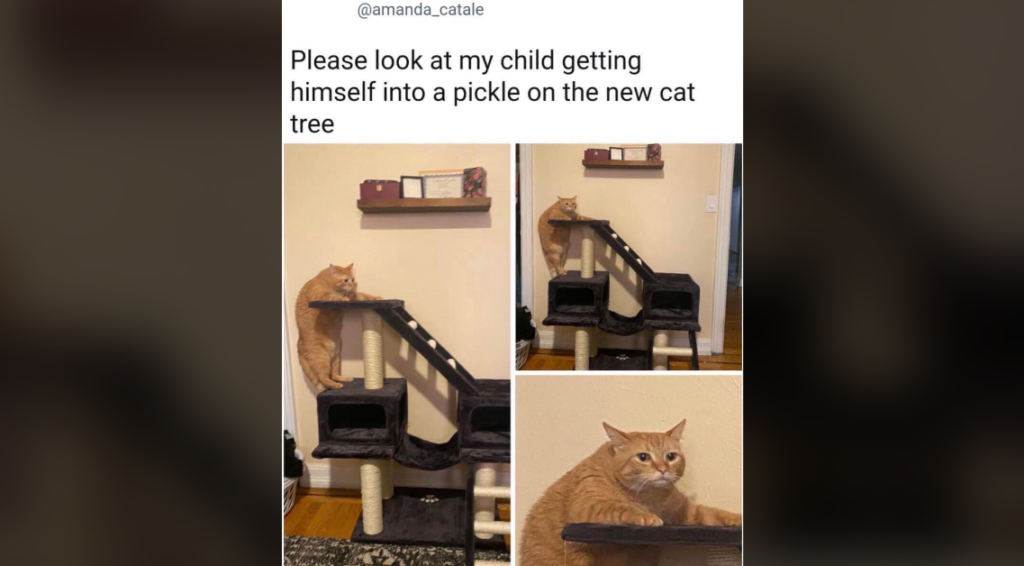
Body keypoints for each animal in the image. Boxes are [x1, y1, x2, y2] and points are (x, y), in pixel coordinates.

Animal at [524, 417, 741, 564]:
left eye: (671, 456)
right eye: (643, 457)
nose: (662, 469)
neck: (651, 497)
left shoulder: (686, 513)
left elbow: (715, 513)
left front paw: (737, 518)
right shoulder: (586, 507)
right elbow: (620, 507)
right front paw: (647, 517)